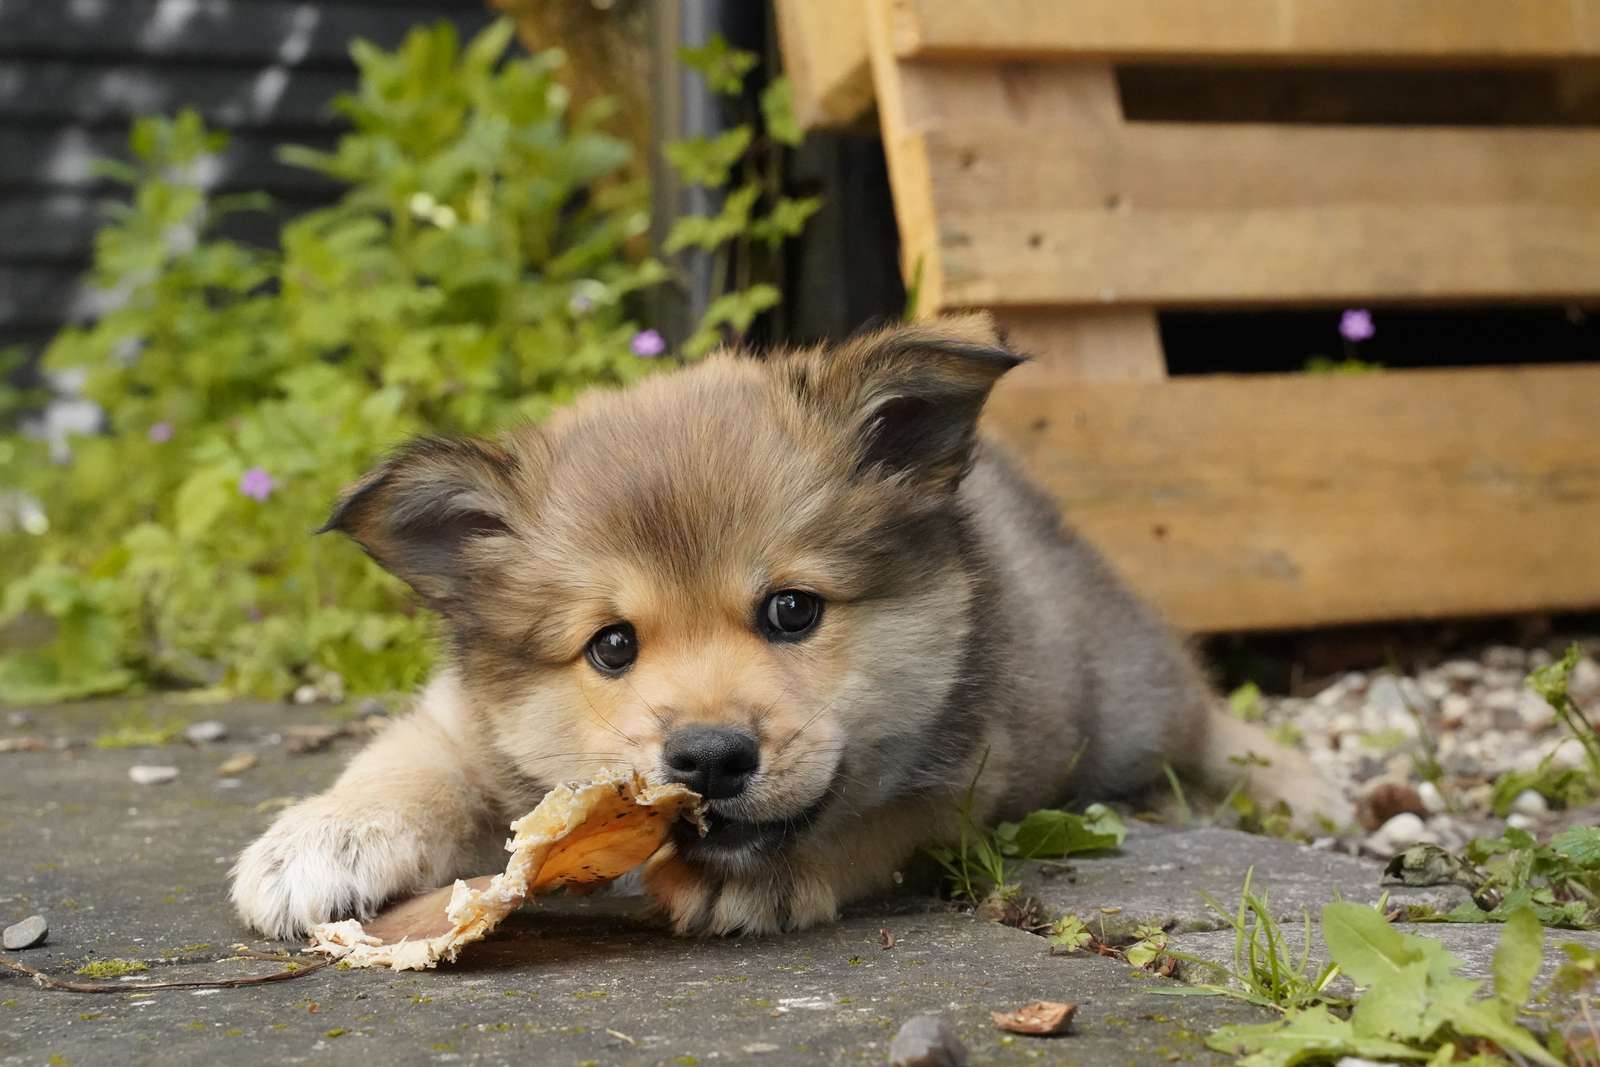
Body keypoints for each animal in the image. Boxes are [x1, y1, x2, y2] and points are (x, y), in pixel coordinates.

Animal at [228, 313, 1350, 940]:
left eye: (792, 609)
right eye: (611, 644)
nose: (711, 756)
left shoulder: (960, 780)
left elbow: (864, 820)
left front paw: (770, 874)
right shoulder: (468, 719)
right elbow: (406, 758)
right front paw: (317, 839)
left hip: (1124, 702)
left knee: (1208, 713)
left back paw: (1312, 786)